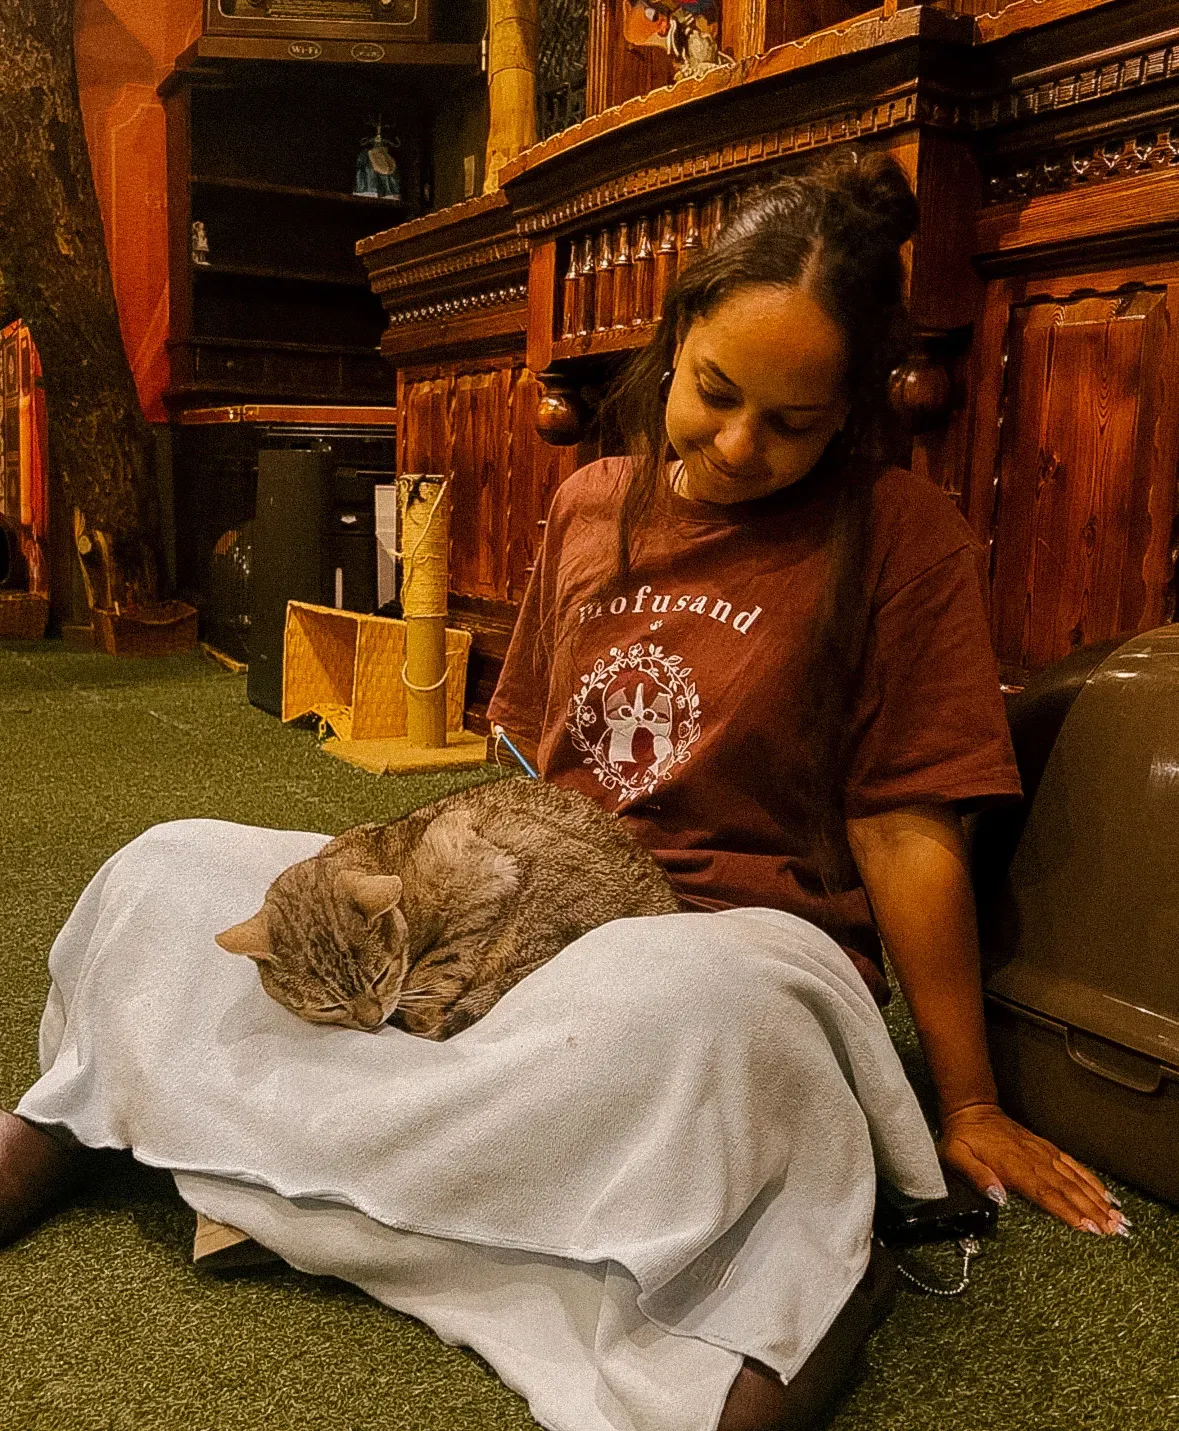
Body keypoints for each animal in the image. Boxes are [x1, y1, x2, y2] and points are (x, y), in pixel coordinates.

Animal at [215, 778, 682, 1039]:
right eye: (327, 1006)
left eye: (380, 976)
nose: (371, 1021)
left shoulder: (486, 875)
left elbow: (440, 967)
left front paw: (417, 1006)